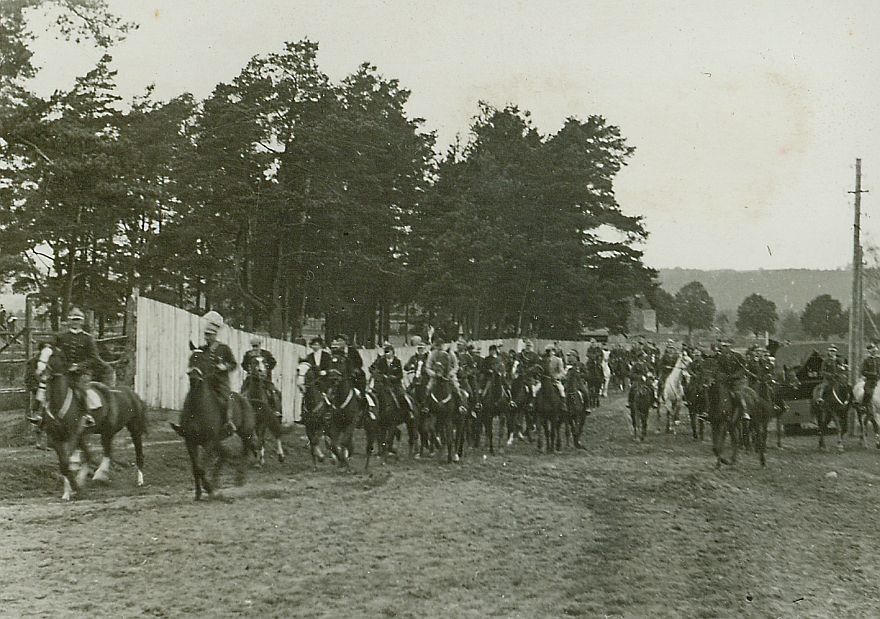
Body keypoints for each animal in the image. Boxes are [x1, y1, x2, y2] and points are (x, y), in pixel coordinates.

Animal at [35, 345, 146, 501]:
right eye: (41, 354)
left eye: (52, 356)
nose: (39, 372)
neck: (59, 401)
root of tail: (131, 393)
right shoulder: (56, 438)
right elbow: (65, 464)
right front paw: (70, 491)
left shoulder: (73, 436)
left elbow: (68, 462)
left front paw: (74, 488)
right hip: (103, 432)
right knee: (101, 453)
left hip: (132, 429)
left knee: (135, 453)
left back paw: (136, 480)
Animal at [174, 345, 256, 499]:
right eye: (191, 358)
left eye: (205, 360)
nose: (194, 377)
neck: (198, 406)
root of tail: (244, 399)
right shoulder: (190, 442)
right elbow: (196, 468)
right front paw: (199, 493)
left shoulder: (209, 442)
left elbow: (201, 467)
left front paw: (209, 489)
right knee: (224, 456)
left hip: (245, 433)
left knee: (245, 451)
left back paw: (239, 479)